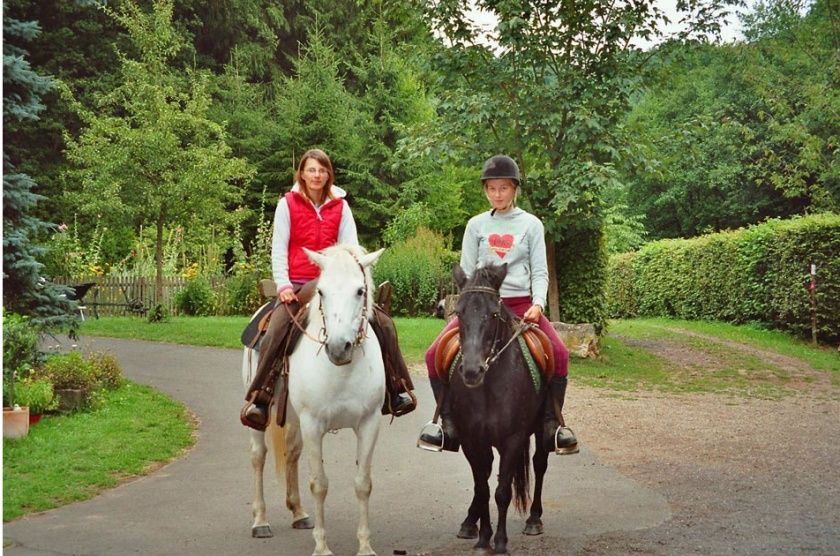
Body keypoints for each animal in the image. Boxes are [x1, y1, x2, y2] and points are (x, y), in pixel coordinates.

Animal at [243, 244, 388, 556]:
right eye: (321, 291)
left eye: (360, 290)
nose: (338, 347)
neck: (341, 370)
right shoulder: (313, 424)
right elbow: (319, 484)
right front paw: (322, 547)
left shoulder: (369, 423)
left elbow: (363, 483)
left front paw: (365, 546)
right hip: (262, 418)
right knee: (258, 457)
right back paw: (260, 521)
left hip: (294, 419)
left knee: (292, 452)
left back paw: (298, 513)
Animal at [452, 262, 552, 552]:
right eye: (458, 312)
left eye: (494, 314)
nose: (472, 371)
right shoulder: (472, 440)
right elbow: (483, 488)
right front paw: (483, 539)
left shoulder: (513, 439)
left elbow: (502, 492)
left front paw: (500, 542)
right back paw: (469, 523)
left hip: (540, 431)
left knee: (540, 464)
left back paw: (534, 519)